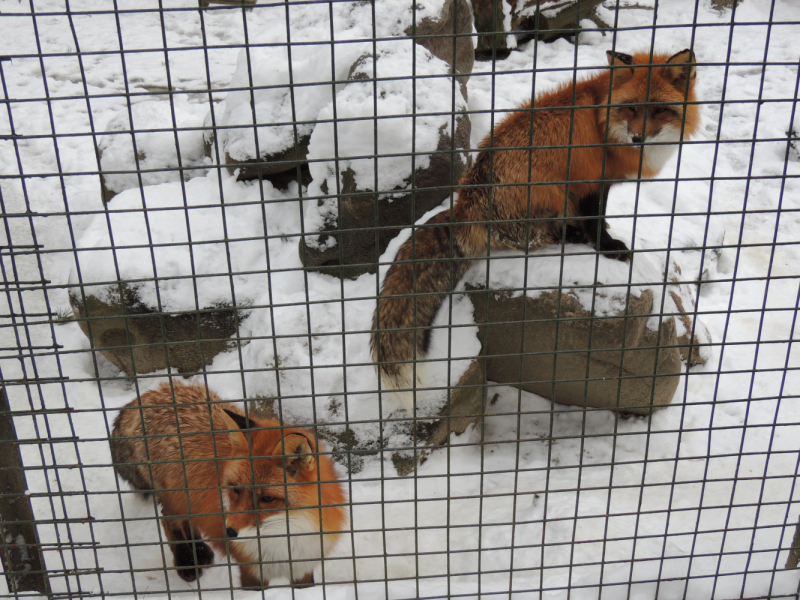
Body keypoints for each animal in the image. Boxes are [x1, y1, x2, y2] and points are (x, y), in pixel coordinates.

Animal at [108, 382, 346, 588]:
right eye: (235, 489)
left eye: (268, 498)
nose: (228, 532)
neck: (287, 535)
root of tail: (156, 390)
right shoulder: (251, 569)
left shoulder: (303, 567)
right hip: (173, 497)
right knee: (169, 520)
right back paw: (187, 560)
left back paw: (200, 551)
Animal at [374, 50, 700, 412]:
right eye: (631, 108)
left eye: (659, 109)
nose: (637, 138)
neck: (604, 122)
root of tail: (467, 204)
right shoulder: (590, 182)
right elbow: (594, 221)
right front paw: (606, 247)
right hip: (548, 191)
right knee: (528, 239)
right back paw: (566, 236)